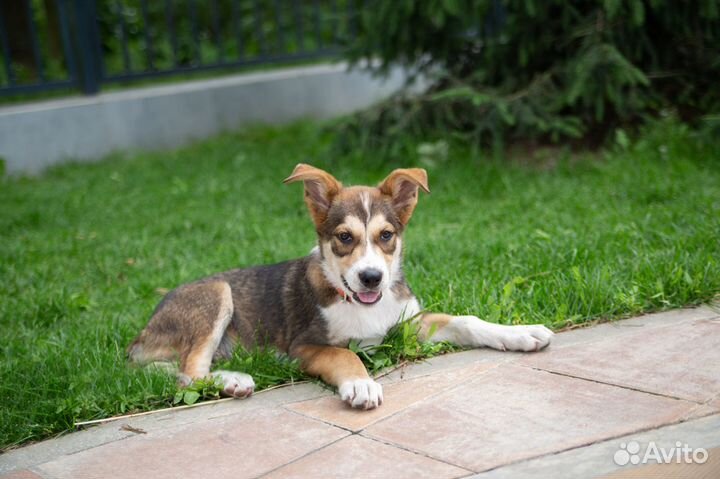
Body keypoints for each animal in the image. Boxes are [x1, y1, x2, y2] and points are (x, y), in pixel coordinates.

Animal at [128, 164, 552, 408]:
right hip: (216, 293)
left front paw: (521, 332)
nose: (371, 277)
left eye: (386, 236)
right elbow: (344, 355)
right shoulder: (304, 346)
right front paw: (361, 385)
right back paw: (234, 381)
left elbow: (467, 320)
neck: (359, 303)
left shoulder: (406, 324)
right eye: (344, 238)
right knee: (189, 372)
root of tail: (143, 333)